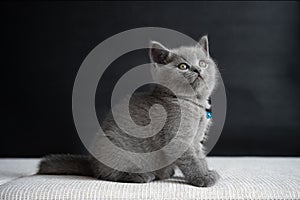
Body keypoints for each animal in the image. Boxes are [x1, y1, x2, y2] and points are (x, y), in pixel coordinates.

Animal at [38, 35, 220, 187]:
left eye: (203, 63)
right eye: (183, 66)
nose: (198, 70)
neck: (193, 103)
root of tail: (92, 163)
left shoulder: (196, 140)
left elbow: (200, 157)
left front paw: (207, 171)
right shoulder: (178, 138)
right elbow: (191, 160)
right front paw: (202, 178)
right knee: (108, 174)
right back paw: (140, 176)